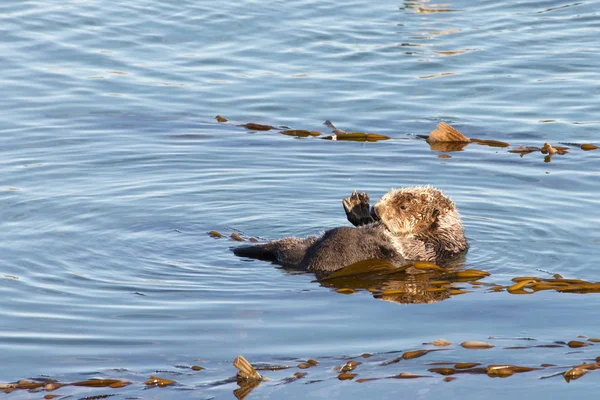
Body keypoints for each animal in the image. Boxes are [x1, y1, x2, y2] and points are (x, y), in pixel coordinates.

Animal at [232, 186, 466, 276]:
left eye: (403, 206)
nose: (377, 210)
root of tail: (304, 261)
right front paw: (359, 208)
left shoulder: (431, 246)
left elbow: (404, 247)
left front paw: (379, 230)